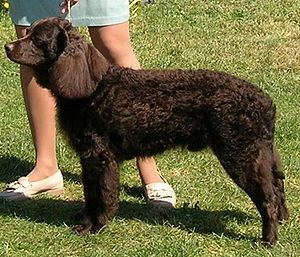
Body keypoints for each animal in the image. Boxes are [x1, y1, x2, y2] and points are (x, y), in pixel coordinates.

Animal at [4, 17, 288, 245]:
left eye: (37, 39)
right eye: (27, 32)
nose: (7, 46)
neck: (93, 88)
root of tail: (266, 103)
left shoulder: (99, 158)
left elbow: (101, 195)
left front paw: (93, 226)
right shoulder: (89, 159)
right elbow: (89, 194)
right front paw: (84, 219)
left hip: (241, 156)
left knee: (268, 198)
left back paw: (268, 239)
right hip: (262, 155)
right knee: (278, 188)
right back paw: (283, 220)